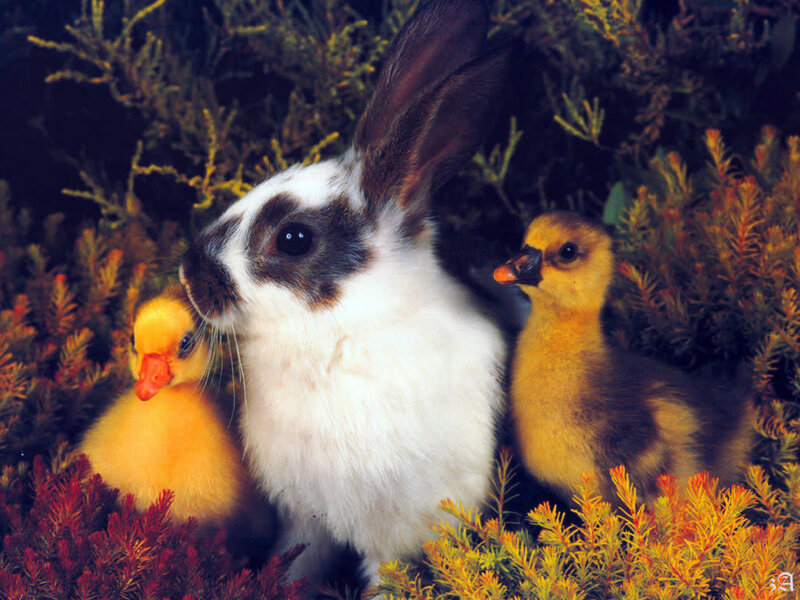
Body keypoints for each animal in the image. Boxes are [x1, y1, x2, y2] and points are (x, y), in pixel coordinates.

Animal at [178, 0, 512, 586]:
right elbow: (295, 562)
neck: (342, 335)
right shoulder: (307, 516)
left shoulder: (403, 526)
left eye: (293, 239)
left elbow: (385, 579)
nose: (189, 276)